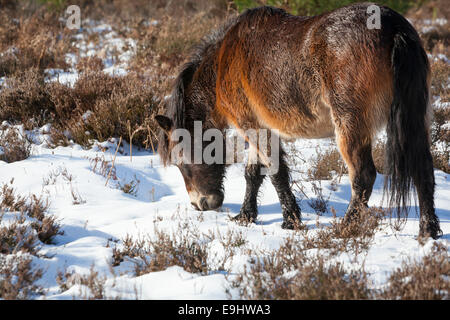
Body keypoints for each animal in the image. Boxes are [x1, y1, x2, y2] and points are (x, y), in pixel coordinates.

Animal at [156, 1, 442, 238]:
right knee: (423, 169)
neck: (223, 63)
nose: (201, 204)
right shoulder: (261, 127)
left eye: (180, 161)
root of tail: (394, 29)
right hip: (416, 121)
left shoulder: (253, 127)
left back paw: (346, 227)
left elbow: (276, 172)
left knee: (363, 175)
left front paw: (290, 220)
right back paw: (428, 230)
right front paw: (246, 216)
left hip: (350, 125)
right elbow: (253, 174)